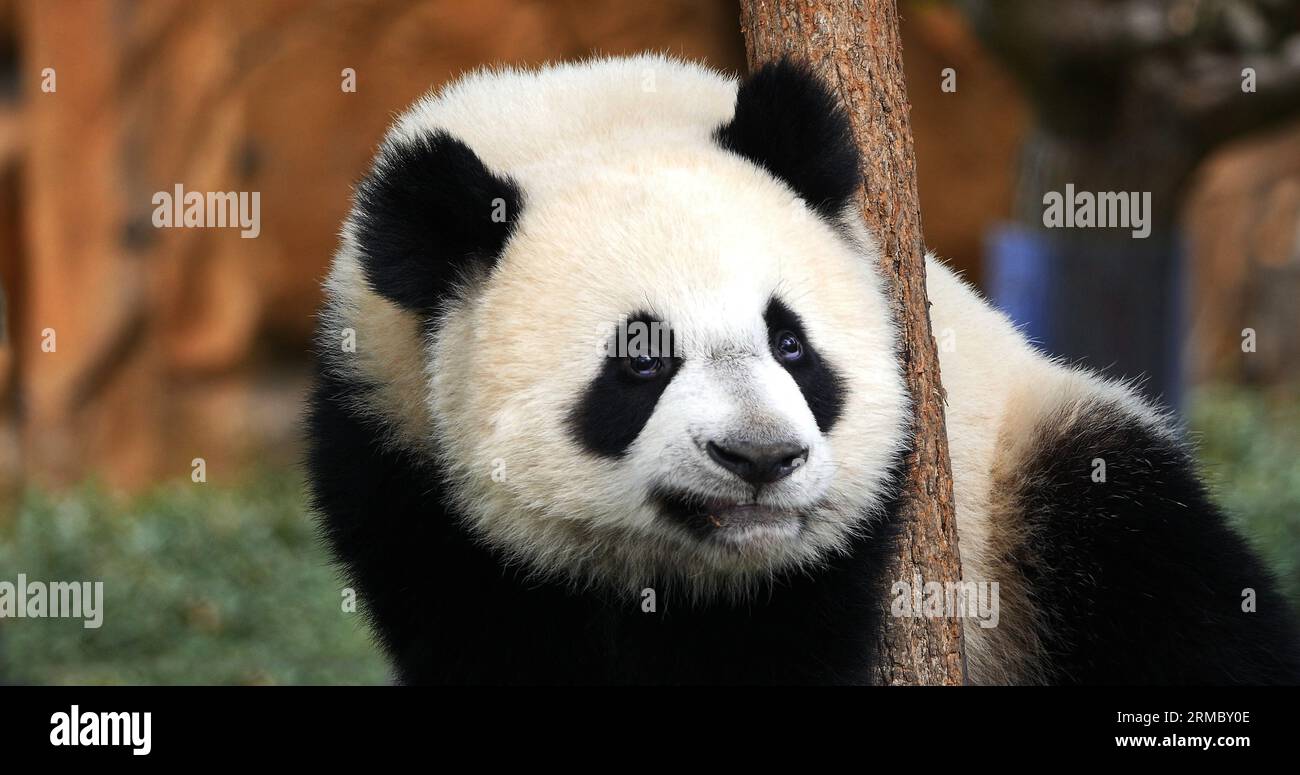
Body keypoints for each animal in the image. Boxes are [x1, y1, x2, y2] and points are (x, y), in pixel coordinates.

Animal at [306, 54, 1300, 686]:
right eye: (640, 362)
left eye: (791, 343)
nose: (759, 458)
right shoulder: (394, 458)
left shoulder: (866, 515)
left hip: (1033, 477)